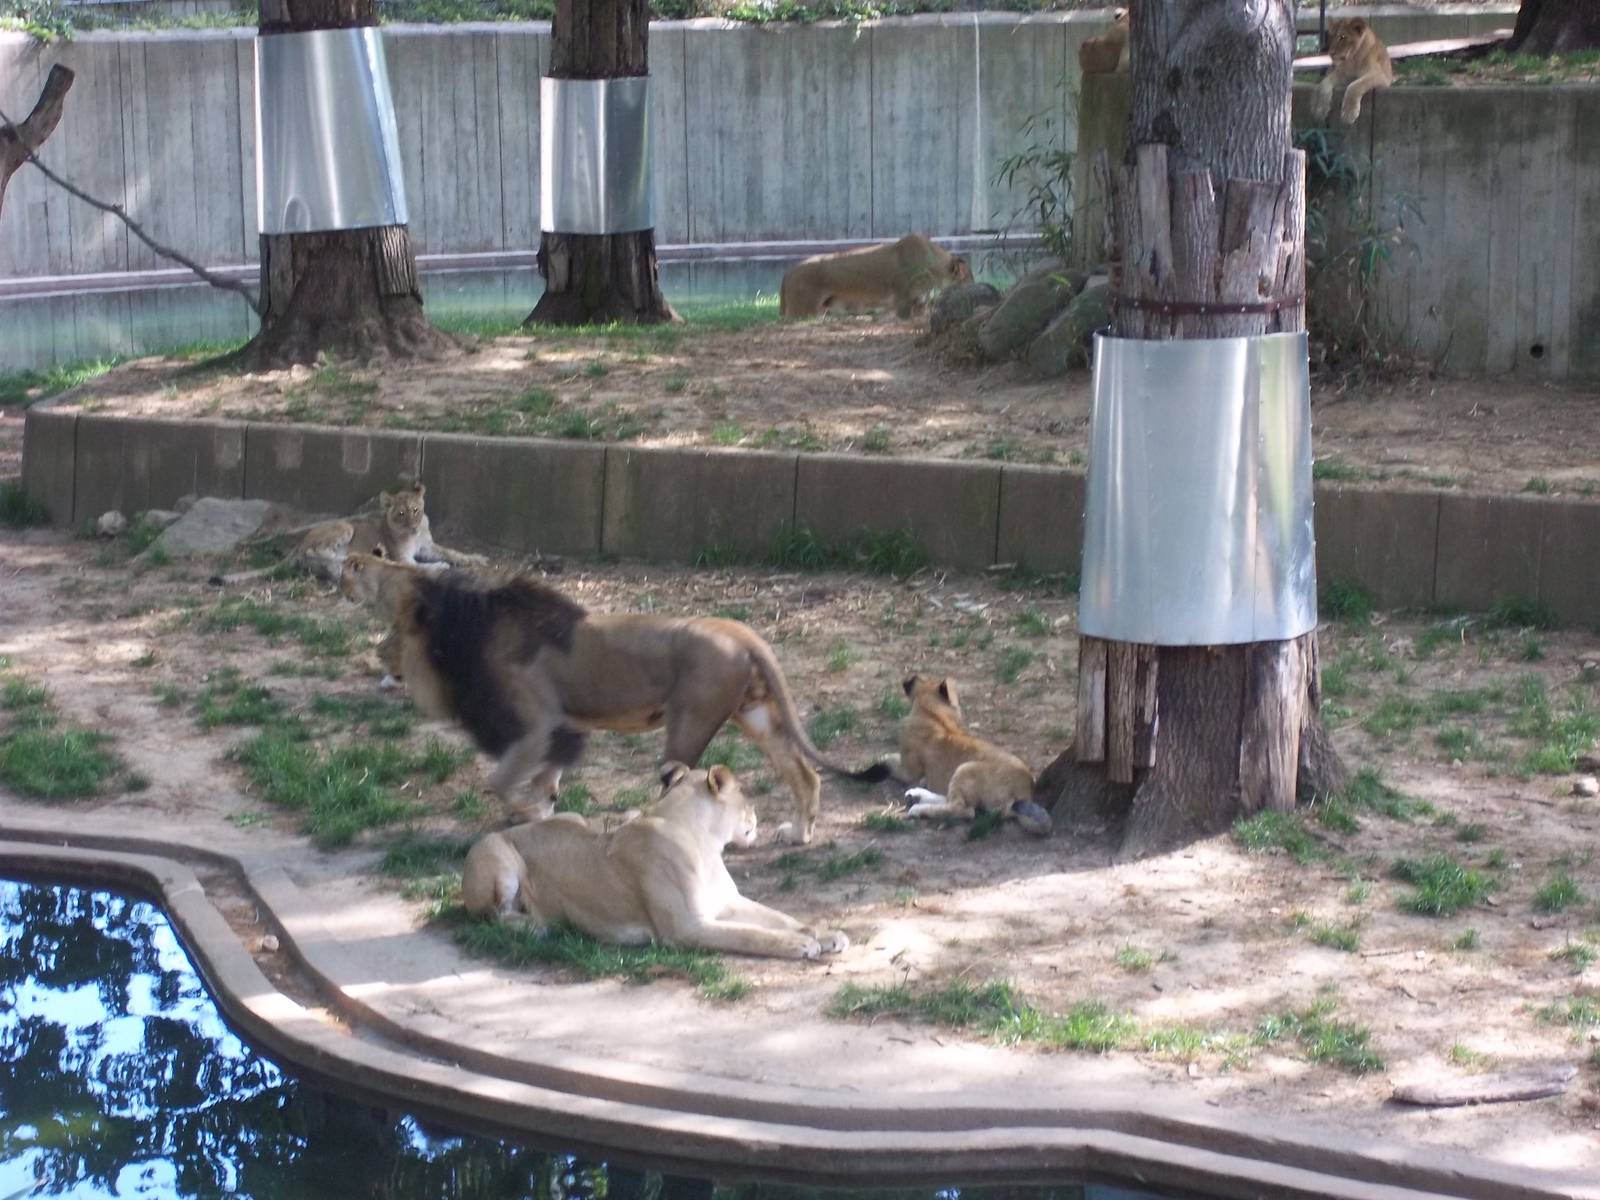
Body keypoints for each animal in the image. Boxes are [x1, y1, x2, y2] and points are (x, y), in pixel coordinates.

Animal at [210, 483, 484, 587]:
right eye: (401, 514)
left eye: (416, 510)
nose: (414, 527)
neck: (415, 536)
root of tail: (299, 544)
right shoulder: (404, 558)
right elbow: (423, 566)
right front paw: (441, 567)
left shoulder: (427, 546)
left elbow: (453, 551)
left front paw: (476, 559)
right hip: (344, 527)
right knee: (316, 553)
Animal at [388, 566, 885, 843]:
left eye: (401, 627)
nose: (383, 655)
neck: (476, 630)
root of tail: (741, 631)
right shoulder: (563, 728)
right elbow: (545, 781)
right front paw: (542, 813)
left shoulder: (537, 726)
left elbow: (501, 780)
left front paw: (523, 813)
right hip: (756, 714)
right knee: (803, 772)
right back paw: (800, 835)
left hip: (689, 721)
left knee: (679, 780)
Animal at [462, 763, 849, 959]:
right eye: (745, 795)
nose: (757, 814)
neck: (706, 844)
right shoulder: (687, 928)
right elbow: (749, 935)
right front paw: (798, 945)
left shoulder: (728, 902)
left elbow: (782, 918)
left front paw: (825, 934)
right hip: (498, 853)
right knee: (492, 916)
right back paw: (535, 926)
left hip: (573, 817)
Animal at [873, 675, 1051, 837]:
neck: (933, 715)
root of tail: (1024, 792)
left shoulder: (908, 770)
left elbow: (891, 760)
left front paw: (882, 759)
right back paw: (918, 795)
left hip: (966, 768)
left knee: (964, 810)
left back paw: (918, 809)